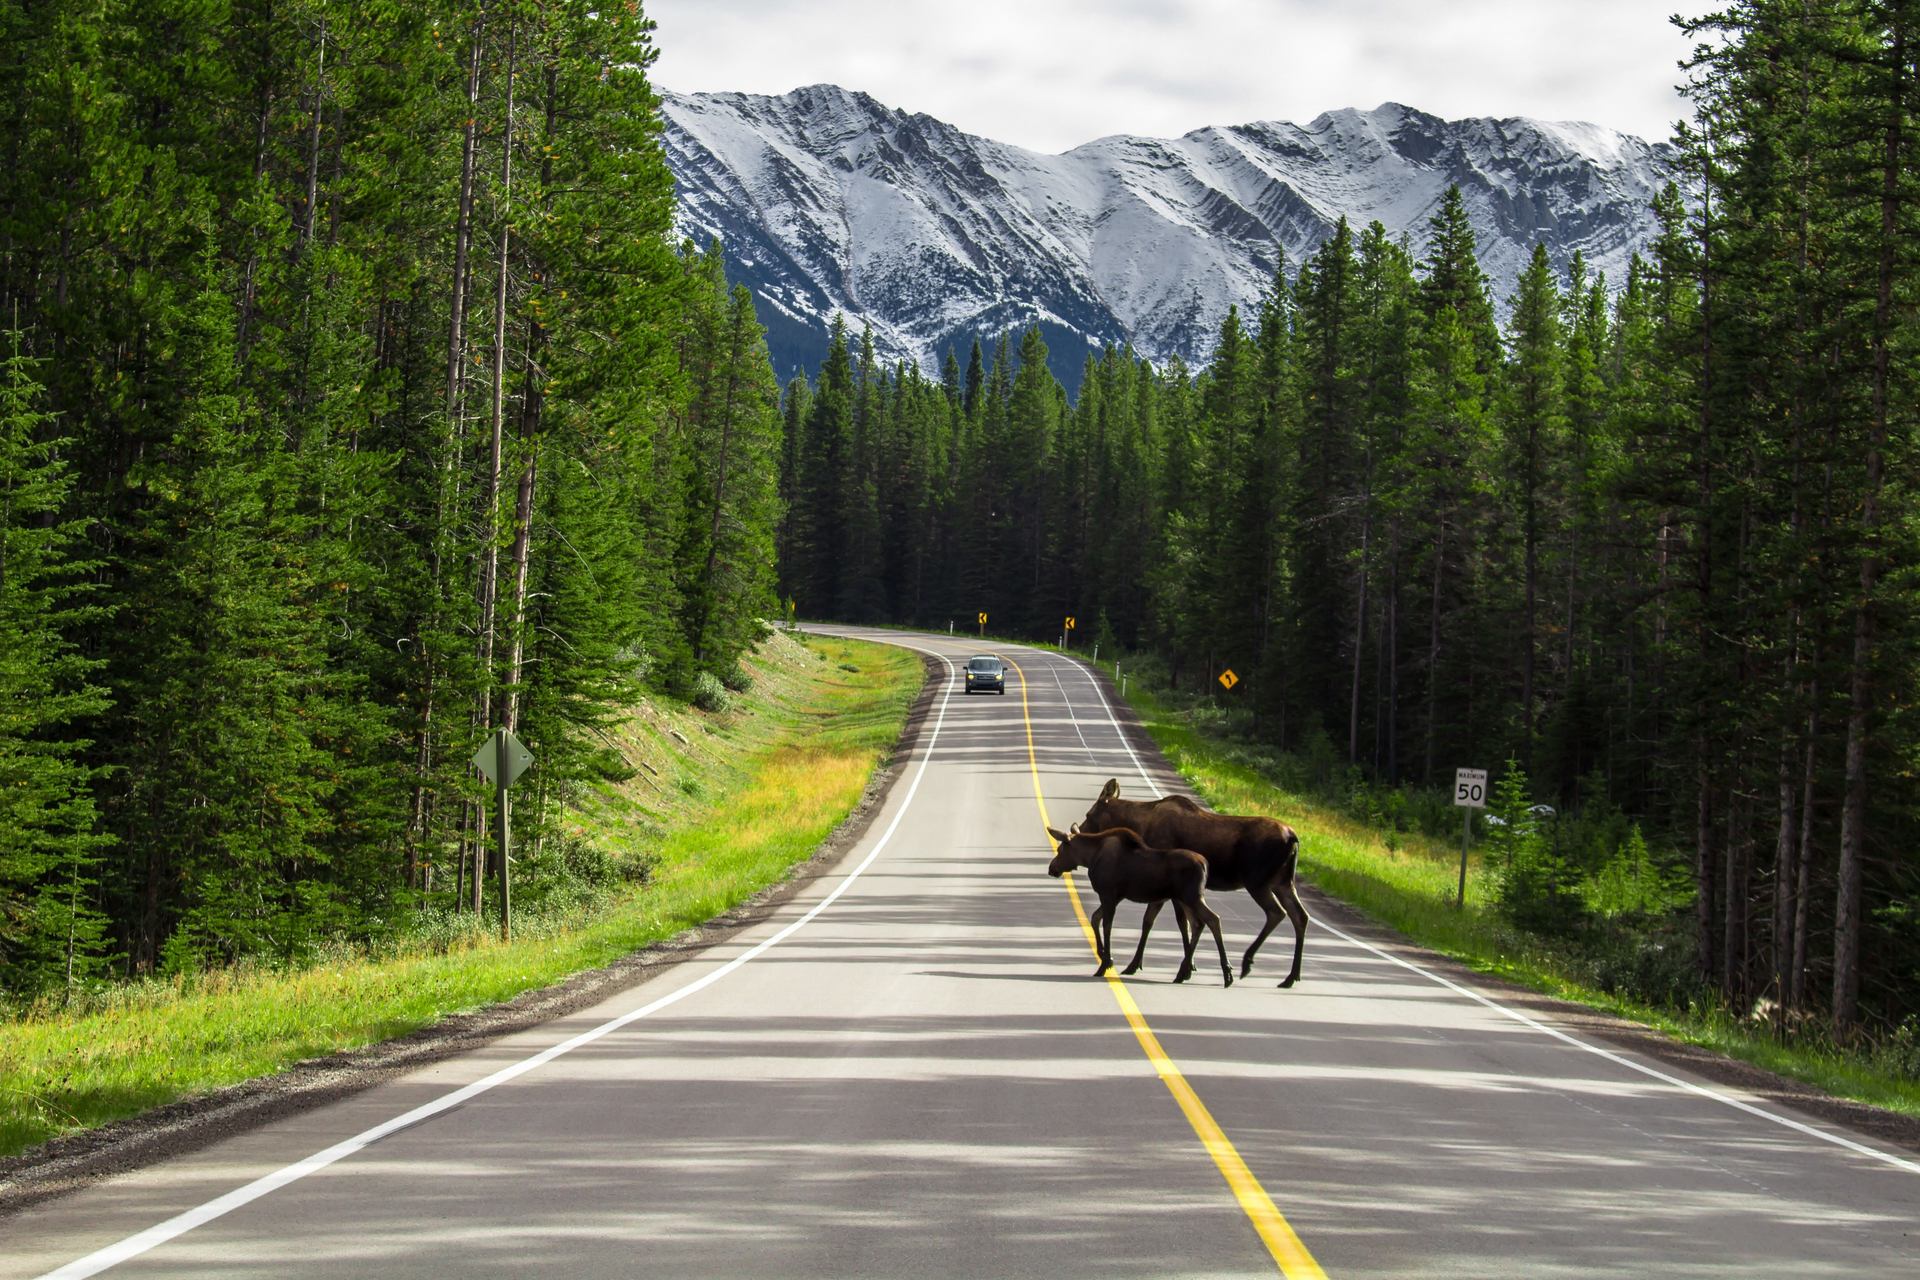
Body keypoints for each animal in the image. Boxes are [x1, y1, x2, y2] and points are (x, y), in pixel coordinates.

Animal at [1045, 826, 1233, 987]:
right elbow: (1095, 918)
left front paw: (1104, 964)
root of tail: (1205, 864)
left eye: (1060, 850)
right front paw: (1104, 955)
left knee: (1212, 919)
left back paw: (1226, 973)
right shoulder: (1117, 896)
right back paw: (1184, 973)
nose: (1051, 868)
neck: (1090, 858)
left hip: (1191, 897)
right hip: (1186, 899)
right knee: (1197, 924)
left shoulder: (1108, 894)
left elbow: (1107, 926)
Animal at [1082, 779, 1308, 987]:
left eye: (1088, 815)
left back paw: (1247, 963)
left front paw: (1177, 966)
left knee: (1277, 913)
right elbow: (1172, 922)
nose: (1079, 831)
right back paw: (1290, 976)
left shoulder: (1170, 885)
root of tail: (1293, 838)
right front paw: (1184, 965)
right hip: (1283, 883)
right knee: (1300, 916)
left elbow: (1176, 922)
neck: (1141, 825)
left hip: (1258, 882)